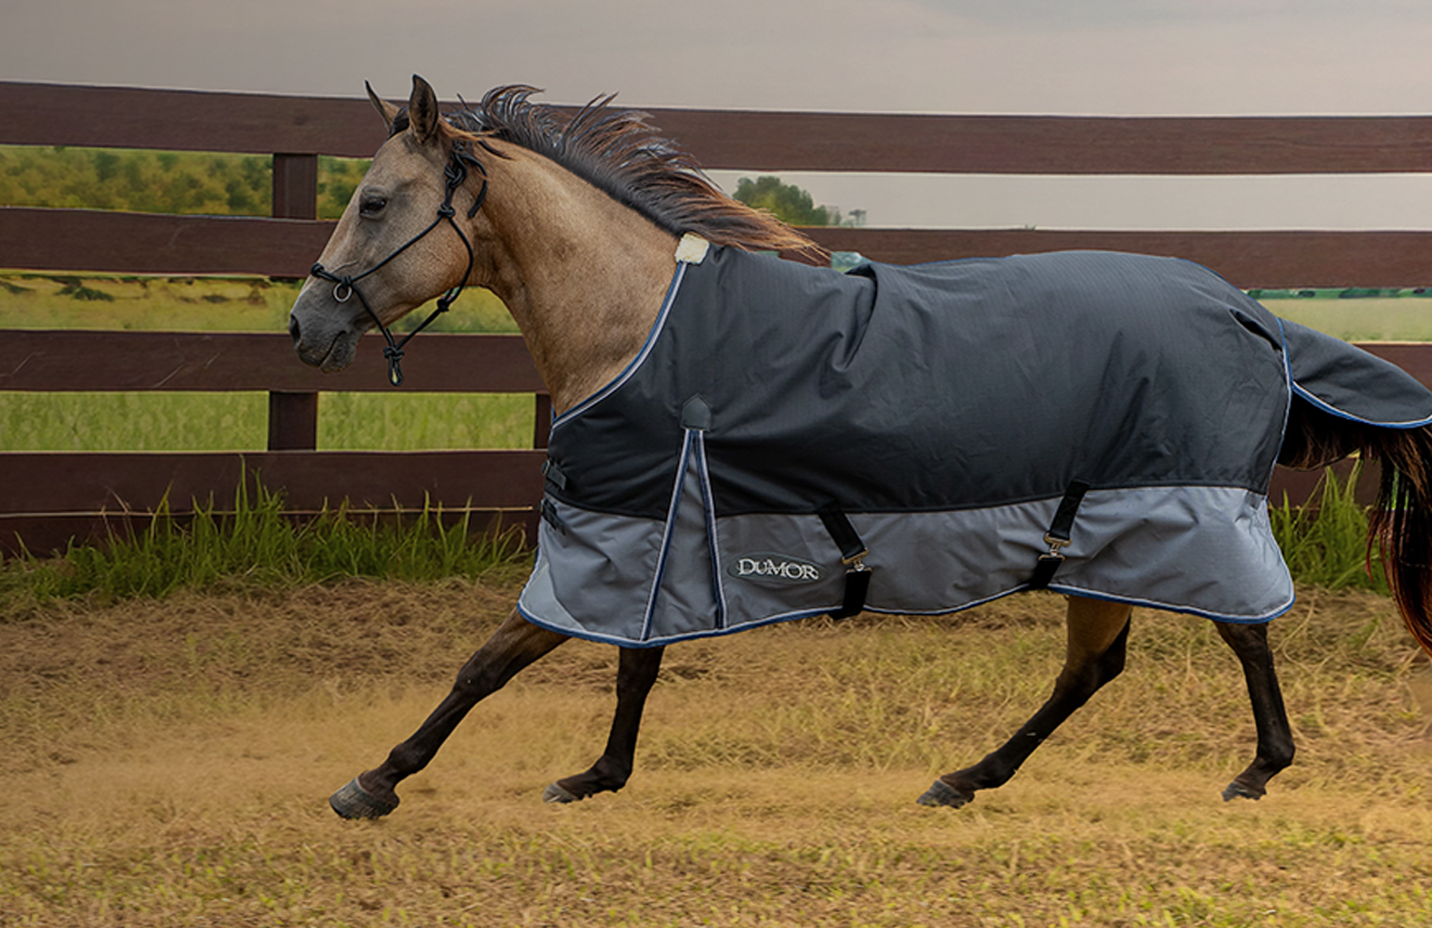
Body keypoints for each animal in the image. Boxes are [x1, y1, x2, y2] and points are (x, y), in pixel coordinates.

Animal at [289, 76, 1432, 820]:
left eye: (374, 201)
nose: (306, 325)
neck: (644, 323)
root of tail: (1247, 310)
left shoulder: (619, 532)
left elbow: (495, 658)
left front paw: (374, 781)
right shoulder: (661, 527)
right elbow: (632, 664)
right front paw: (595, 775)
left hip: (1177, 518)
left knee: (1239, 630)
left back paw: (1257, 769)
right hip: (1098, 538)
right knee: (1093, 668)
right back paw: (966, 778)